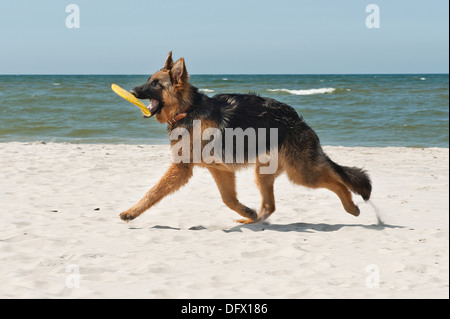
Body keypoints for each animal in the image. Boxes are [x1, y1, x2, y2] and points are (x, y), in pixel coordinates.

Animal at [118, 51, 370, 224]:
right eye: (148, 80)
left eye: (155, 84)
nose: (131, 92)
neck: (188, 109)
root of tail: (297, 119)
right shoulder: (220, 170)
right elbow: (227, 199)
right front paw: (247, 211)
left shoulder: (185, 168)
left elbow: (153, 191)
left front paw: (131, 212)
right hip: (266, 174)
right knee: (270, 206)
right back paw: (253, 219)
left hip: (303, 173)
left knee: (337, 182)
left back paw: (351, 207)